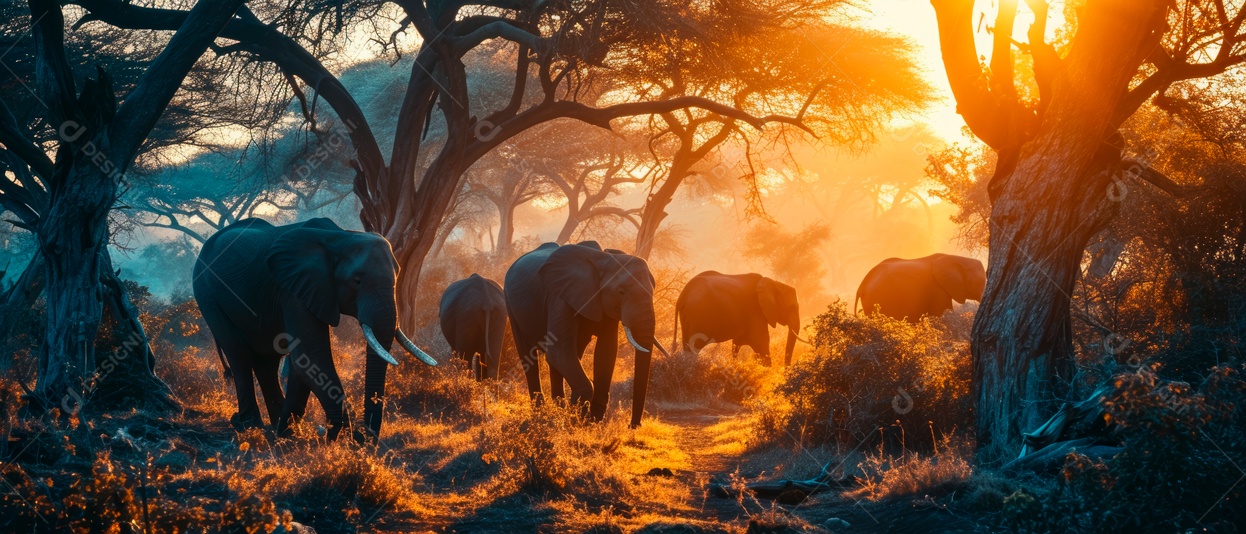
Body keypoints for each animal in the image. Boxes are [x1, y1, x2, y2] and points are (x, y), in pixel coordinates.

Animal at [193, 217, 437, 441]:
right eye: (357, 280)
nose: (361, 436)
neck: (341, 238)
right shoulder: (293, 289)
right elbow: (311, 355)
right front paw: (338, 439)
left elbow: (303, 361)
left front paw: (290, 434)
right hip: (206, 292)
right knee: (237, 352)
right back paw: (248, 425)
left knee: (266, 360)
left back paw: (274, 426)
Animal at [504, 241, 670, 427]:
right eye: (620, 292)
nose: (633, 425)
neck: (605, 259)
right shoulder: (560, 297)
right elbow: (559, 350)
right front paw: (577, 418)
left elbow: (606, 351)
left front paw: (592, 422)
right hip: (510, 303)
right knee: (531, 358)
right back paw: (542, 413)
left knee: (565, 358)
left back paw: (558, 409)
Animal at [672, 272, 803, 366]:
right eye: (792, 307)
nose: (786, 369)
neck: (774, 283)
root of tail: (681, 298)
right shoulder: (754, 312)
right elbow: (761, 343)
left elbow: (736, 345)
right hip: (696, 317)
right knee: (693, 349)